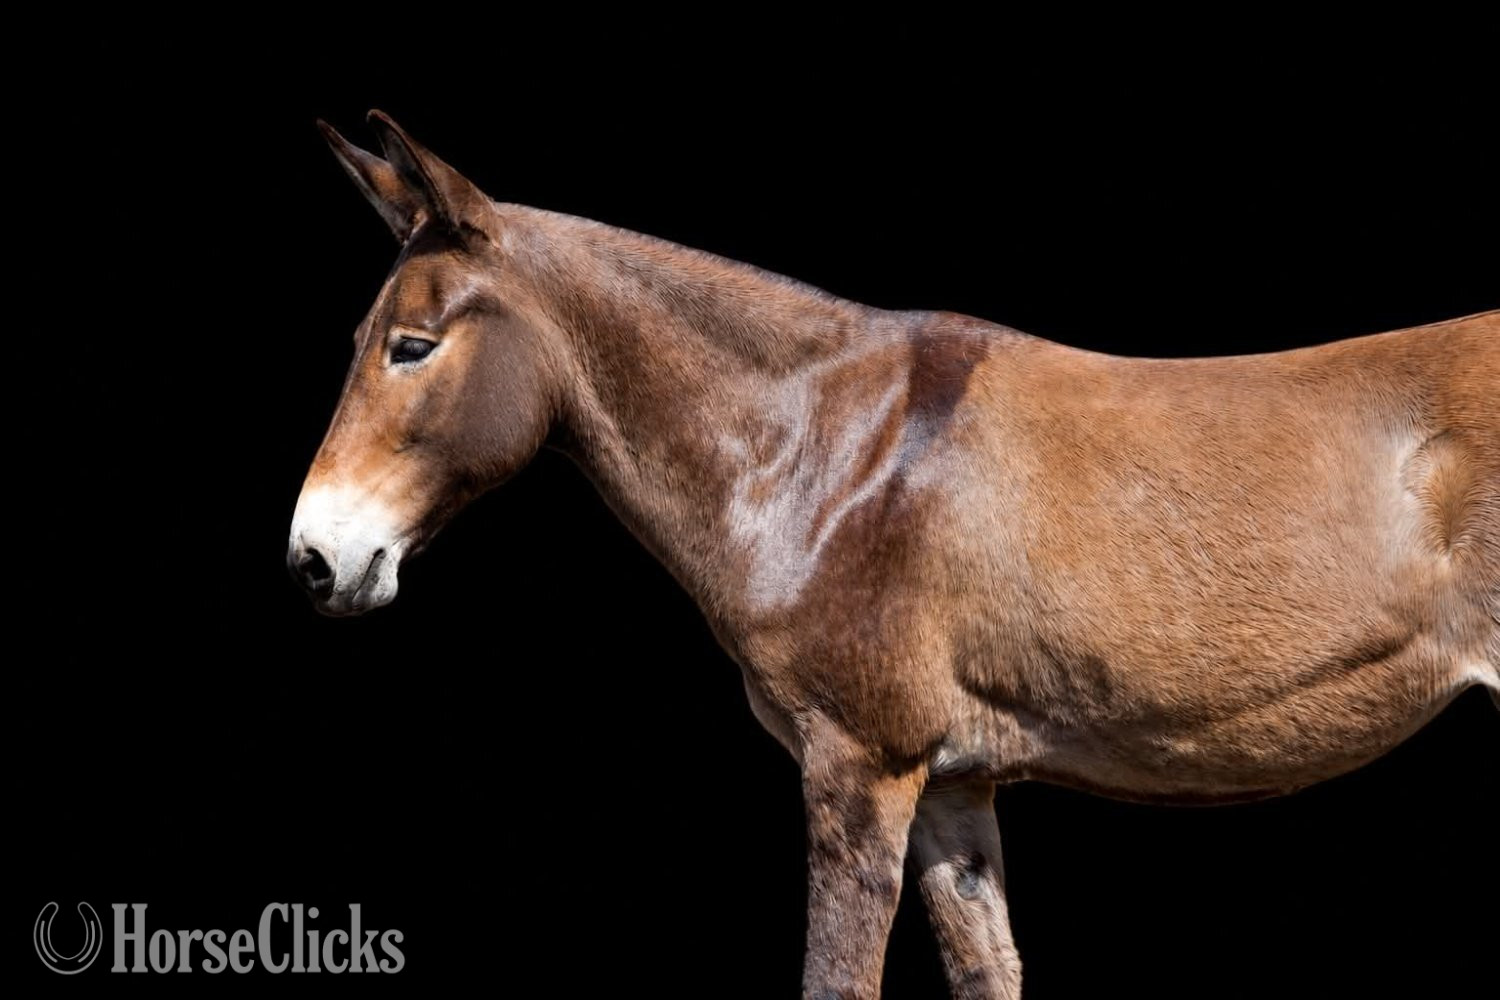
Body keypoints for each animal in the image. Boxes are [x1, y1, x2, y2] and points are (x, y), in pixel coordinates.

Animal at [288, 110, 1499, 1000]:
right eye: (357, 342)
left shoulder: (858, 769)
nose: (313, 557)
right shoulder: (954, 790)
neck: (825, 452)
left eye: (412, 347)